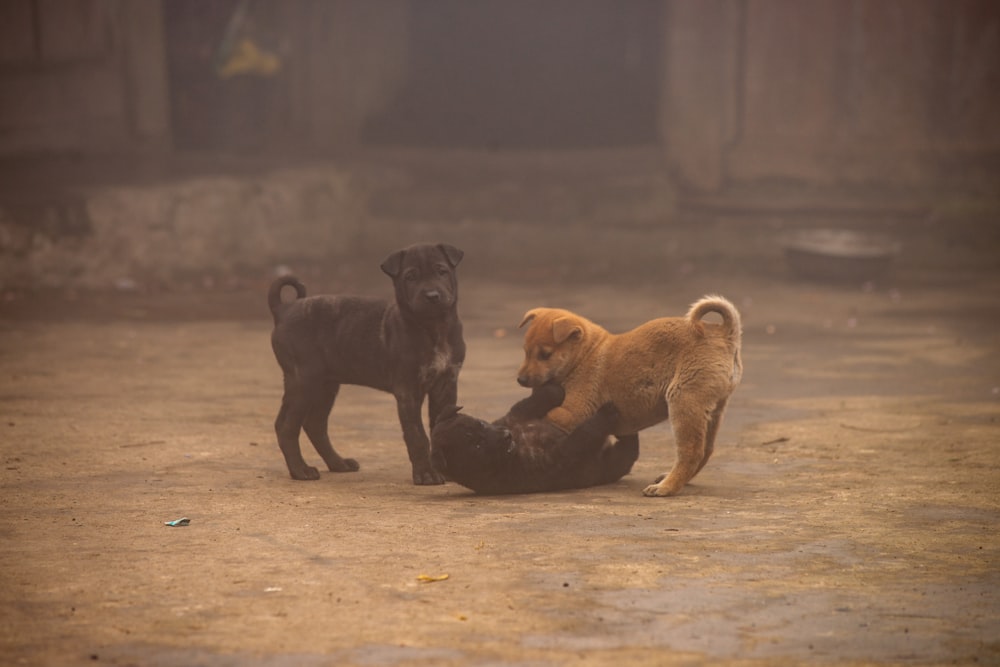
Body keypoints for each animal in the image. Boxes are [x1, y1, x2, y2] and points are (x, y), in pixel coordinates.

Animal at [268, 243, 466, 482]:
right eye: (410, 277)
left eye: (442, 271)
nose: (432, 295)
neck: (434, 327)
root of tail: (283, 310)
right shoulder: (408, 389)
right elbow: (417, 435)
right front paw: (425, 474)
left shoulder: (446, 384)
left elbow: (441, 426)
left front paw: (442, 469)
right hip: (303, 380)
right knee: (286, 425)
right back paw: (301, 470)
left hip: (326, 385)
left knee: (315, 424)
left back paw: (339, 463)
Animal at [428, 386, 632, 496]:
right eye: (477, 446)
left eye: (481, 424)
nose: (507, 436)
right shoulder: (559, 457)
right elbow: (582, 434)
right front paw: (607, 413)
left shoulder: (515, 416)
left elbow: (531, 402)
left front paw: (555, 388)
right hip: (611, 463)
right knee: (627, 455)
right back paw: (628, 436)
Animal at [516, 296, 744, 496]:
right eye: (525, 351)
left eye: (545, 355)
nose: (521, 380)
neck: (585, 355)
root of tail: (725, 333)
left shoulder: (572, 412)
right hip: (712, 409)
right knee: (706, 450)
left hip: (684, 400)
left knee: (692, 453)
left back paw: (666, 487)